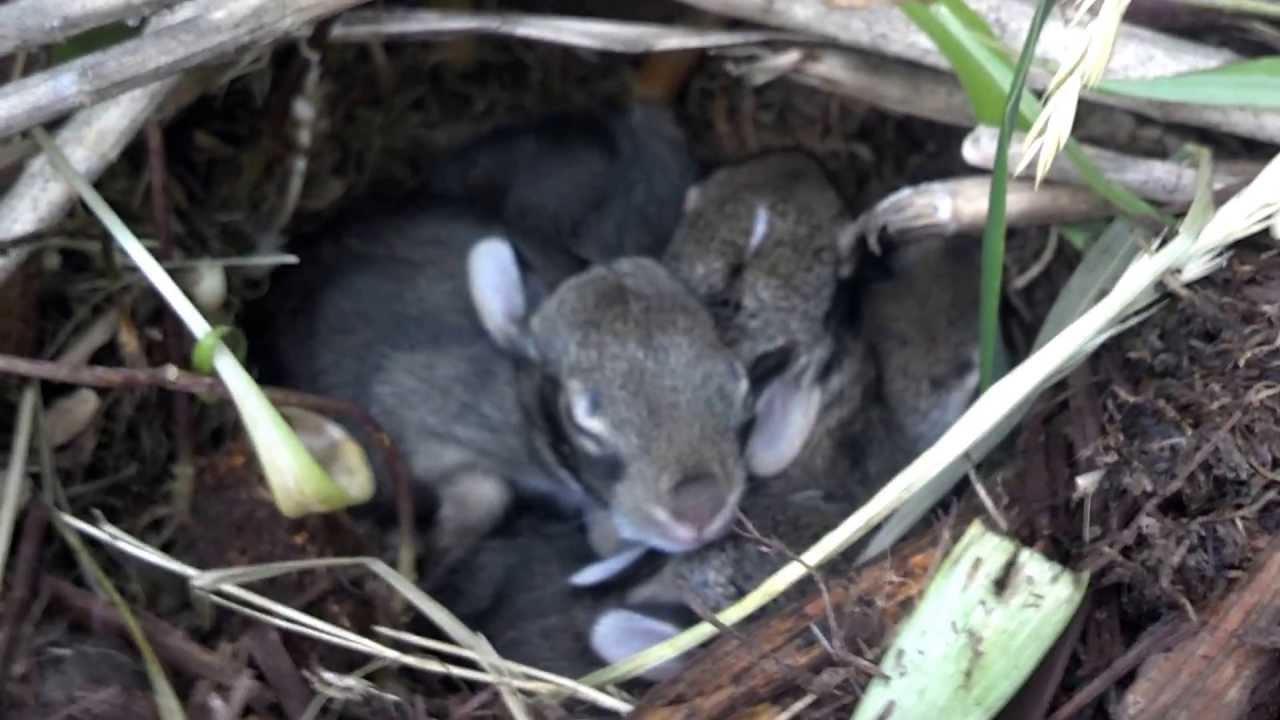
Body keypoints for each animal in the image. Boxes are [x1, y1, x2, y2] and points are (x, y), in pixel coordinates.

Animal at [252, 199, 808, 571]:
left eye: (739, 391)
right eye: (583, 419)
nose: (699, 510)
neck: (519, 398)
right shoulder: (420, 428)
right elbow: (486, 489)